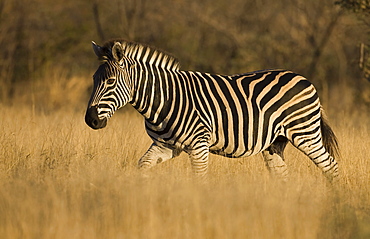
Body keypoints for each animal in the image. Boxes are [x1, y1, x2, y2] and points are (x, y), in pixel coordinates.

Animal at [84, 39, 338, 181]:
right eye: (94, 79)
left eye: (110, 82)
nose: (90, 121)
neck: (164, 100)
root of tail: (304, 79)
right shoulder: (166, 146)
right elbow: (142, 166)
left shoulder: (198, 146)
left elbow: (200, 181)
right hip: (275, 143)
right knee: (282, 175)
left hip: (305, 134)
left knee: (331, 166)